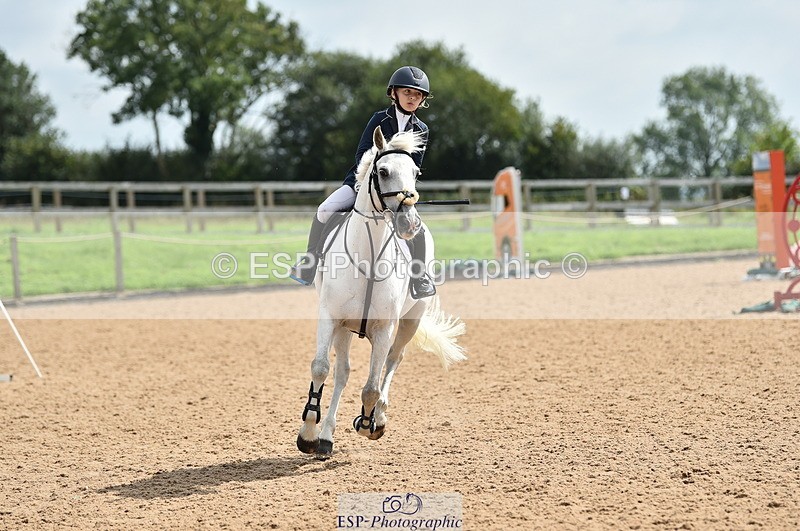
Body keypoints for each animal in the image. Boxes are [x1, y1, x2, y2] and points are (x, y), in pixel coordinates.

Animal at [296, 126, 467, 458]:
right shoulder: (330, 318)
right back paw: (326, 437)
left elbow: (372, 387)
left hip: (411, 320)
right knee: (342, 372)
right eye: (384, 171)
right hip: (344, 329)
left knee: (392, 360)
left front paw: (367, 423)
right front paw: (309, 435)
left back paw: (379, 416)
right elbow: (321, 369)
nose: (409, 223)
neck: (369, 258)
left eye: (416, 173)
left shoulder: (384, 328)